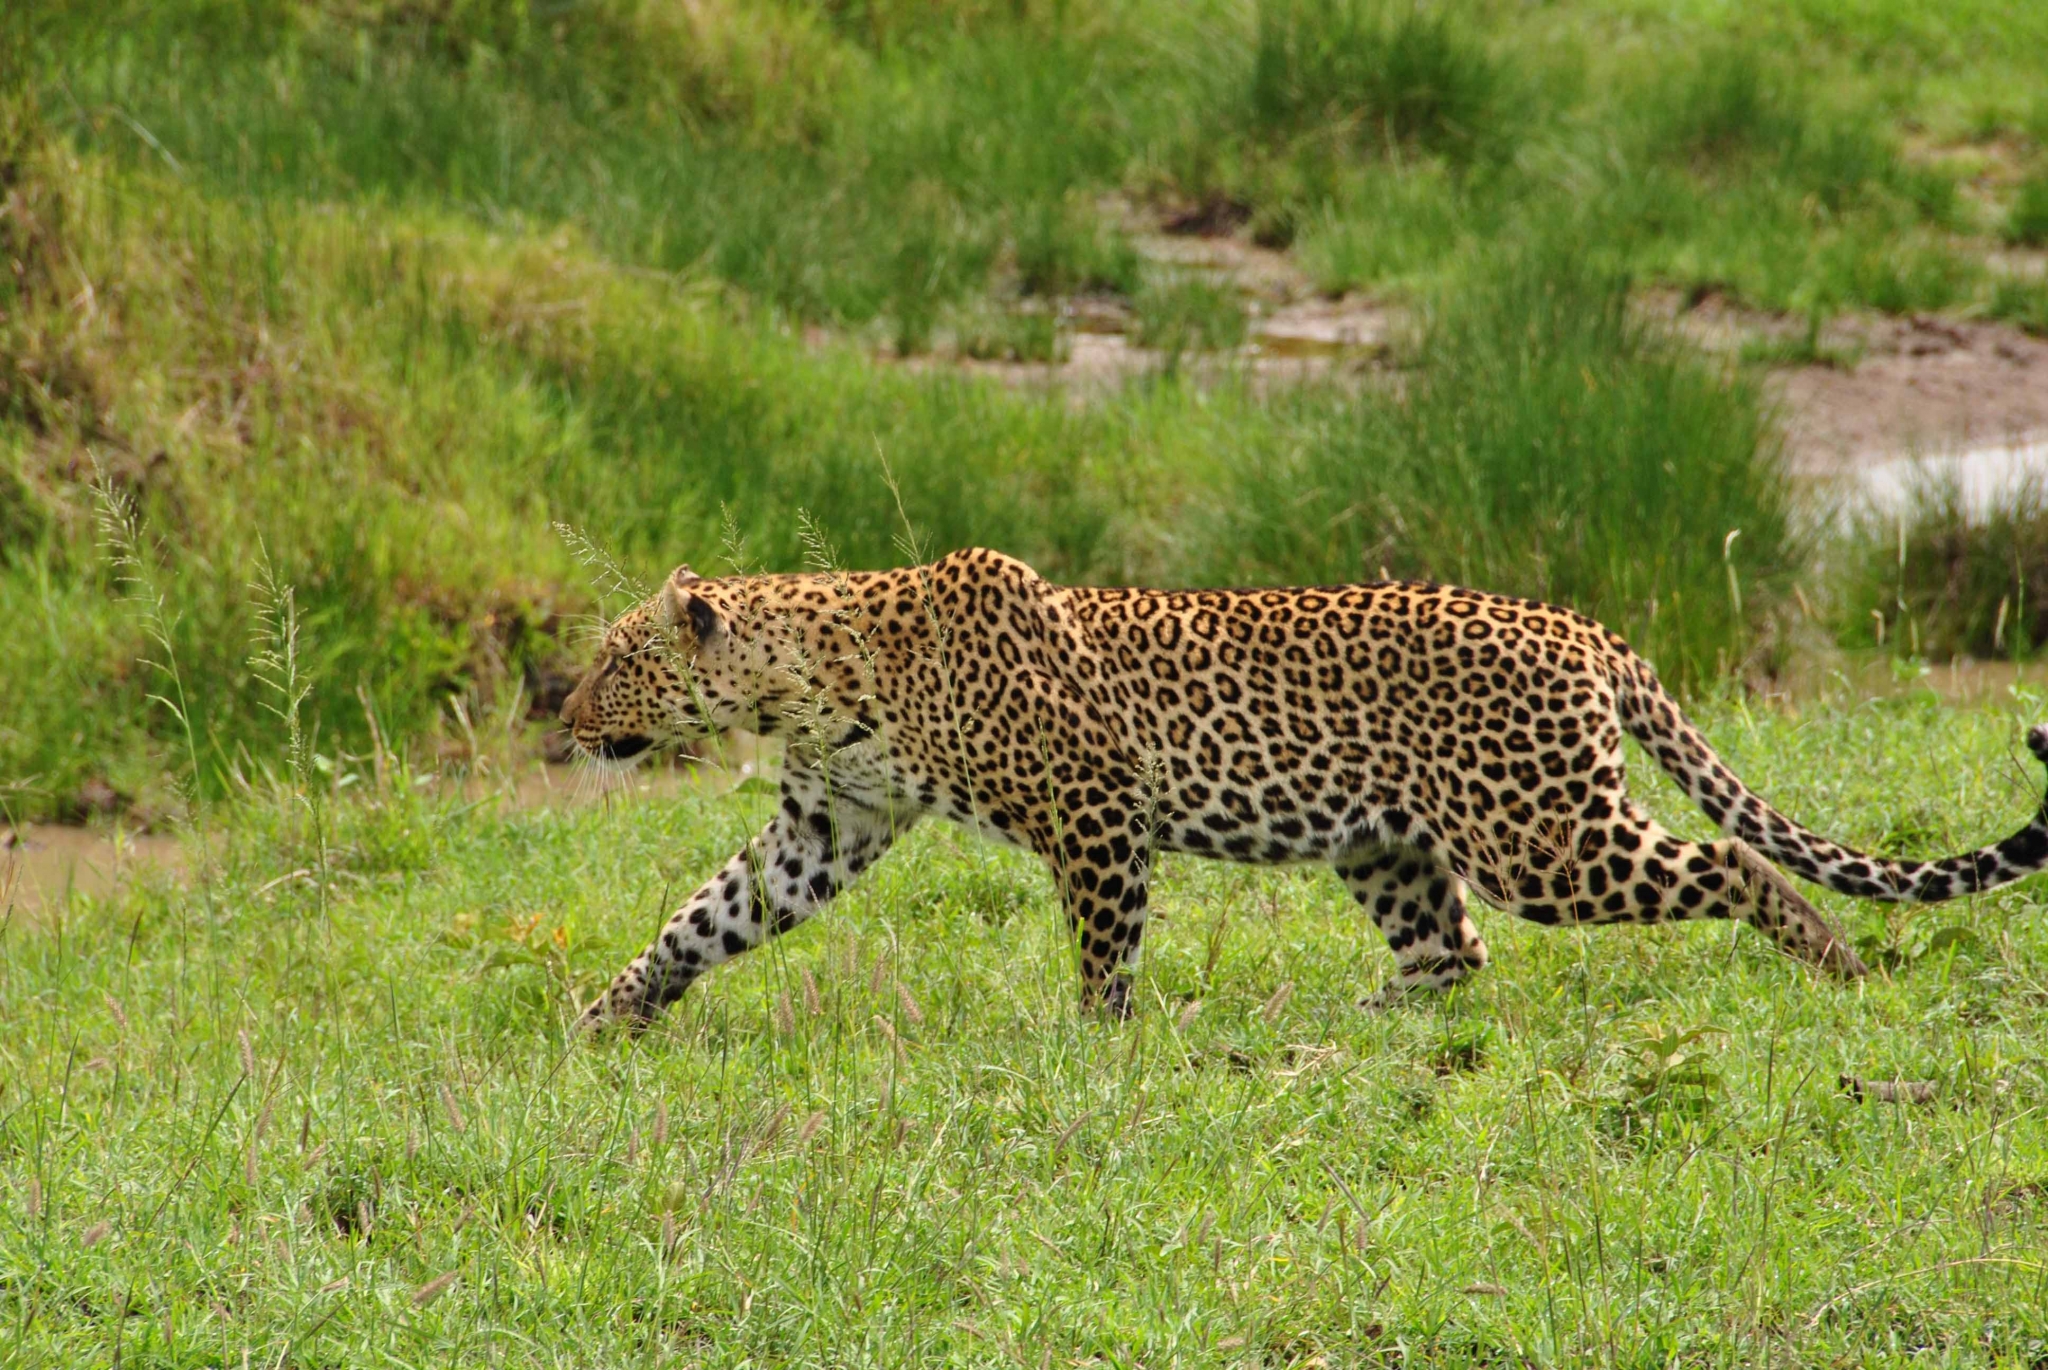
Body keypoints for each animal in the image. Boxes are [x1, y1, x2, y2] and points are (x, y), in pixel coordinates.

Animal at [561, 547, 2048, 1029]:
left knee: (1730, 863)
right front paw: (607, 1016)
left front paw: (1097, 1045)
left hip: (1539, 831)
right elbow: (709, 914)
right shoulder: (829, 821)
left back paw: (1838, 965)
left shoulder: (1096, 811)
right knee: (1450, 953)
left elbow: (1102, 949)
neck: (807, 676)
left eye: (617, 661)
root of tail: (1584, 627)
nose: (563, 717)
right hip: (1387, 842)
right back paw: (1349, 1019)